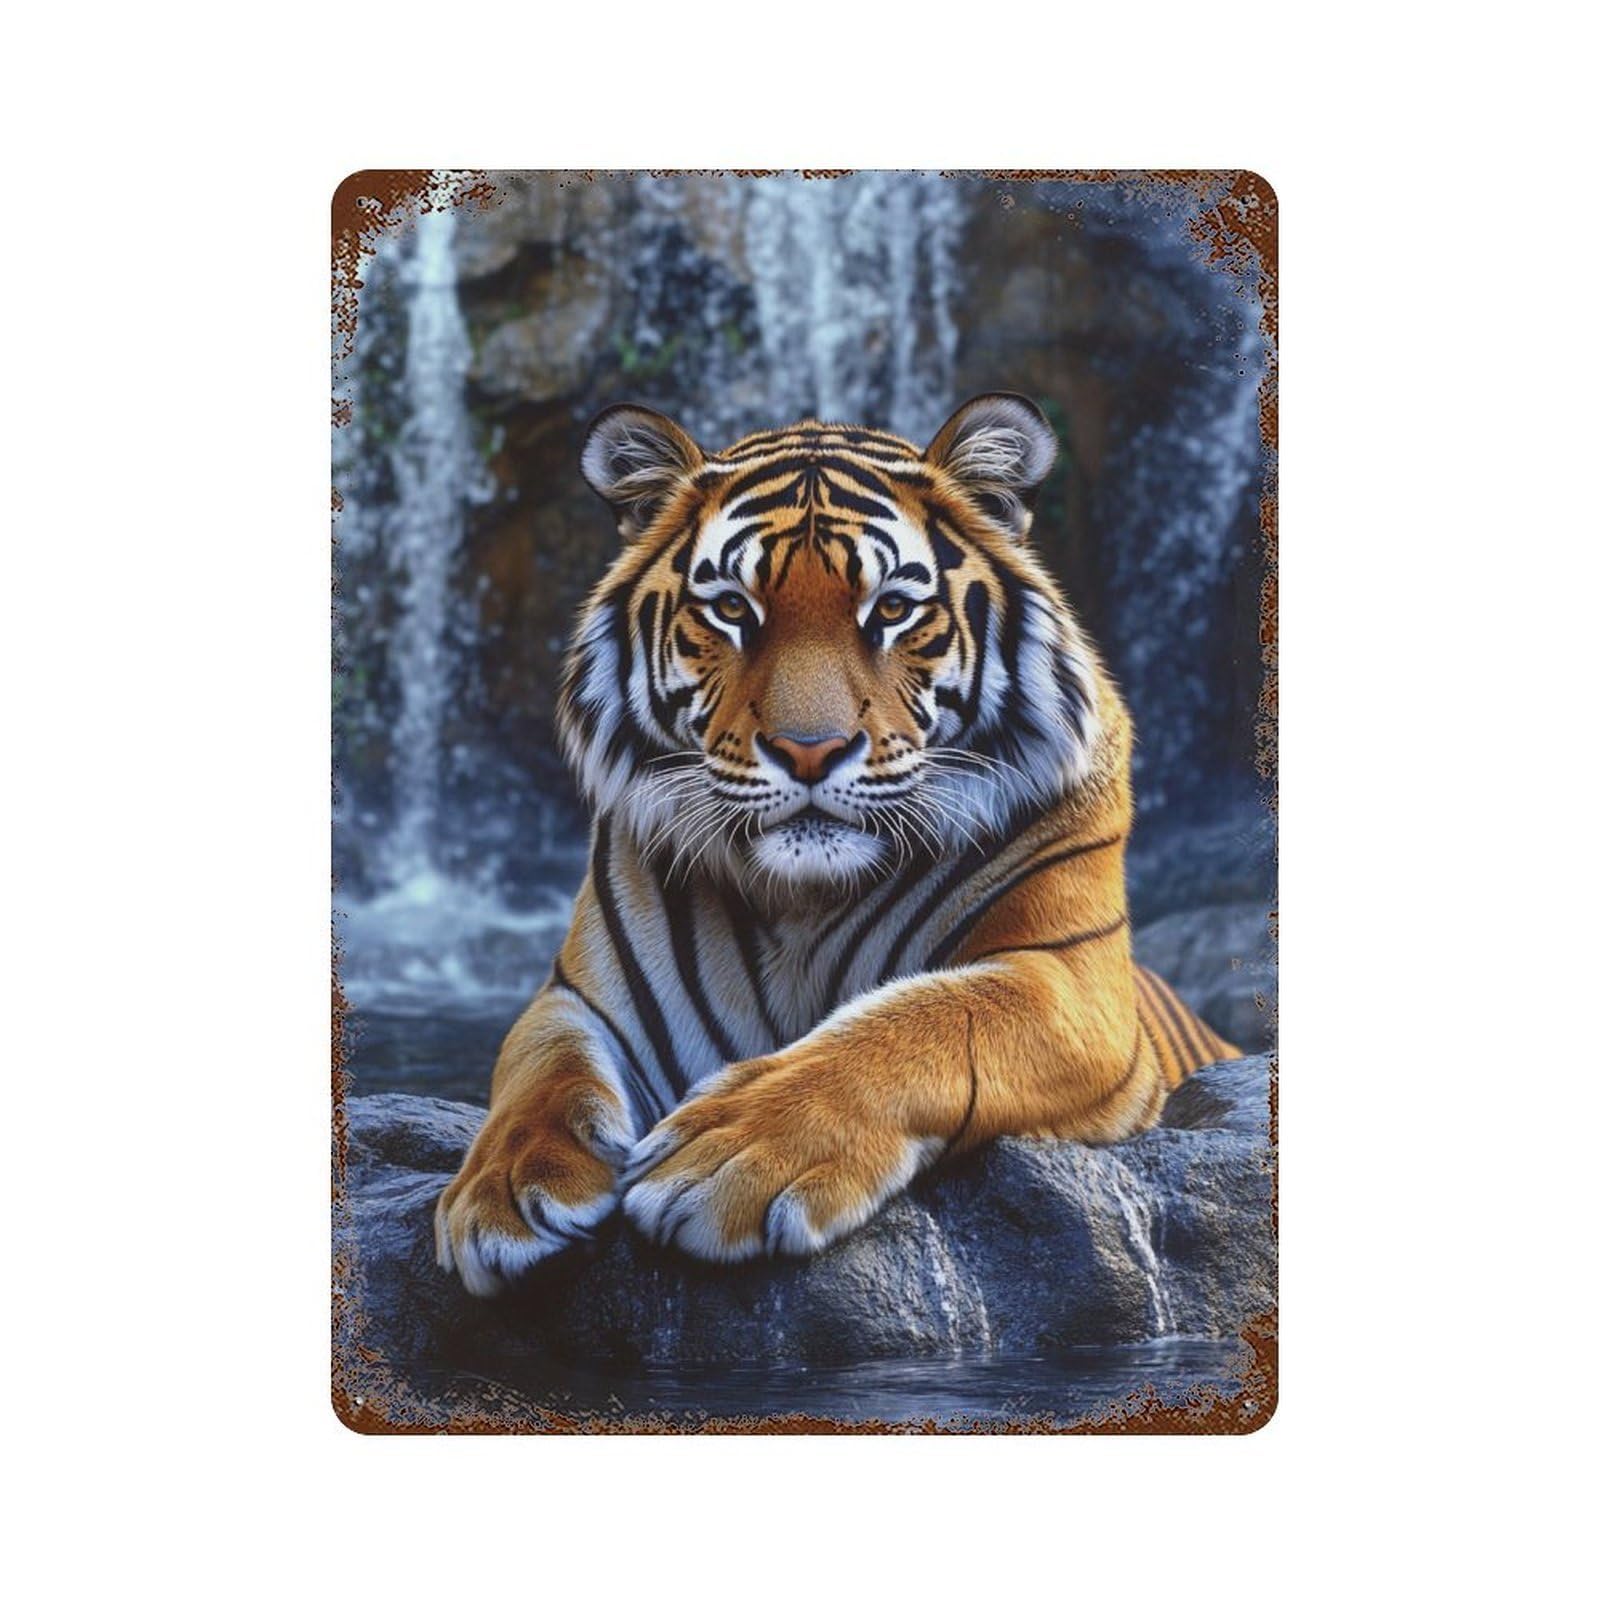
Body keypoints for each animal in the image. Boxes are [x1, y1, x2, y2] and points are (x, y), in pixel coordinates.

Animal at [434, 392, 1239, 1297]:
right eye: (732, 610)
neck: (803, 900)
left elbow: (923, 1019)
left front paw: (730, 1157)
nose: (810, 750)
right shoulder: (579, 996)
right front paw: (504, 1188)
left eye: (890, 609)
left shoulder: (1070, 983)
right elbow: (539, 1068)